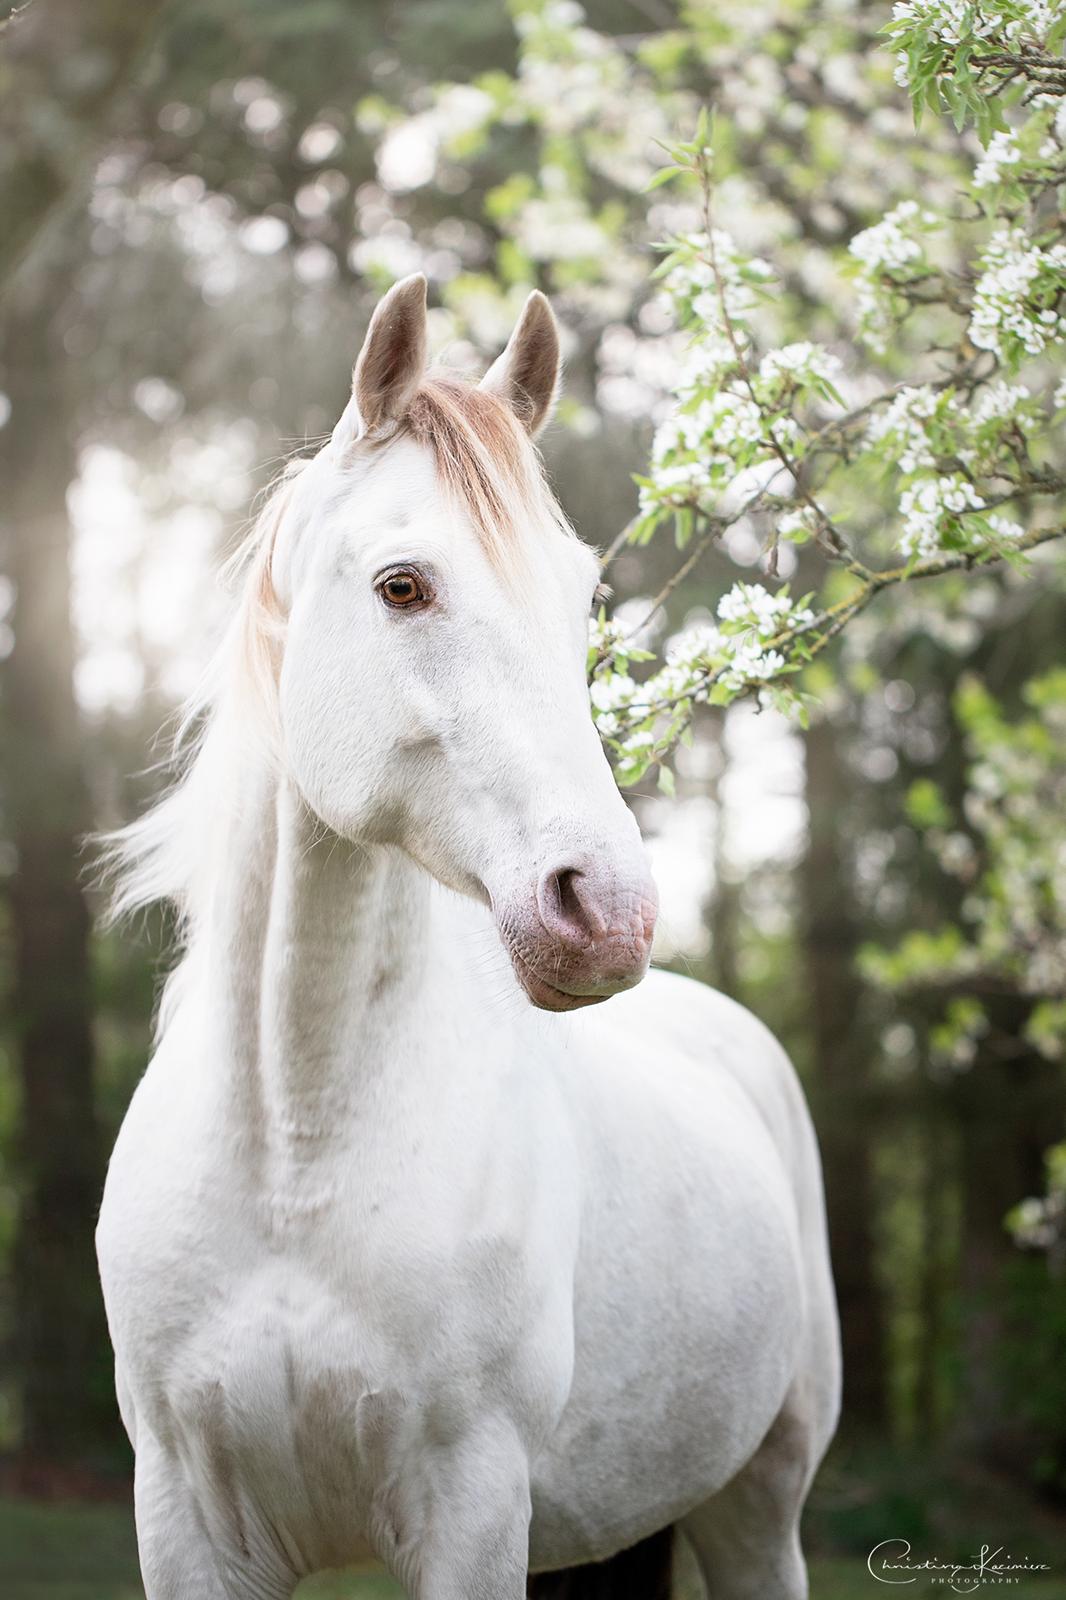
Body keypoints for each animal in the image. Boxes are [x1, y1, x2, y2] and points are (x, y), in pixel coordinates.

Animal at [95, 278, 832, 1600]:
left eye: (581, 597)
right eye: (403, 585)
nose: (607, 908)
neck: (292, 1150)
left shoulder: (472, 1511)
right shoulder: (183, 1519)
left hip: (761, 1501)